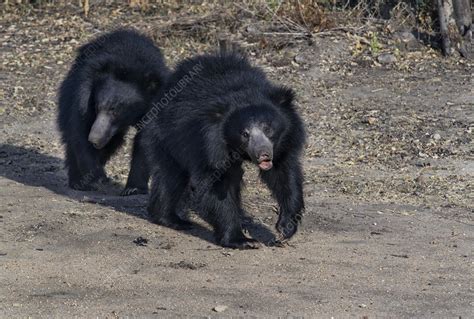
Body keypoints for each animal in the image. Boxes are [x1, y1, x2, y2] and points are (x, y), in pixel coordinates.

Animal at [57, 28, 168, 194]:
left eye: (116, 112)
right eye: (97, 107)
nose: (94, 139)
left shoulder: (156, 104)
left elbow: (145, 141)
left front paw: (133, 189)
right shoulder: (83, 92)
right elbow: (80, 129)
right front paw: (98, 178)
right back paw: (78, 181)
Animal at [143, 52, 306, 250]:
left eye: (268, 129)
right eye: (245, 134)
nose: (263, 154)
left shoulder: (287, 140)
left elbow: (284, 175)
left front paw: (285, 228)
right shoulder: (209, 145)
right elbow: (217, 186)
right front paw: (243, 240)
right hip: (166, 134)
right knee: (170, 176)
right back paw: (173, 219)